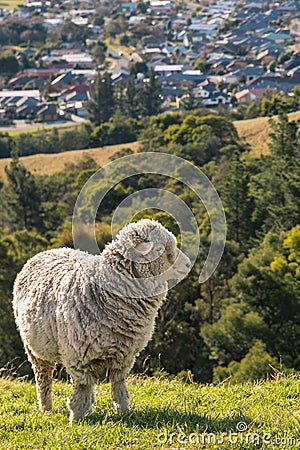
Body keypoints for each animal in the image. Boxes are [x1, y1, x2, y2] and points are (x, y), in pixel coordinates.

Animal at [12, 220, 191, 424]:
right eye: (162, 249)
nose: (188, 264)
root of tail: (48, 251)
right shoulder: (78, 356)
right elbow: (81, 388)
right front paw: (76, 419)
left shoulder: (124, 355)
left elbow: (118, 385)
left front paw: (124, 412)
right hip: (34, 349)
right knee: (44, 378)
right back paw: (47, 408)